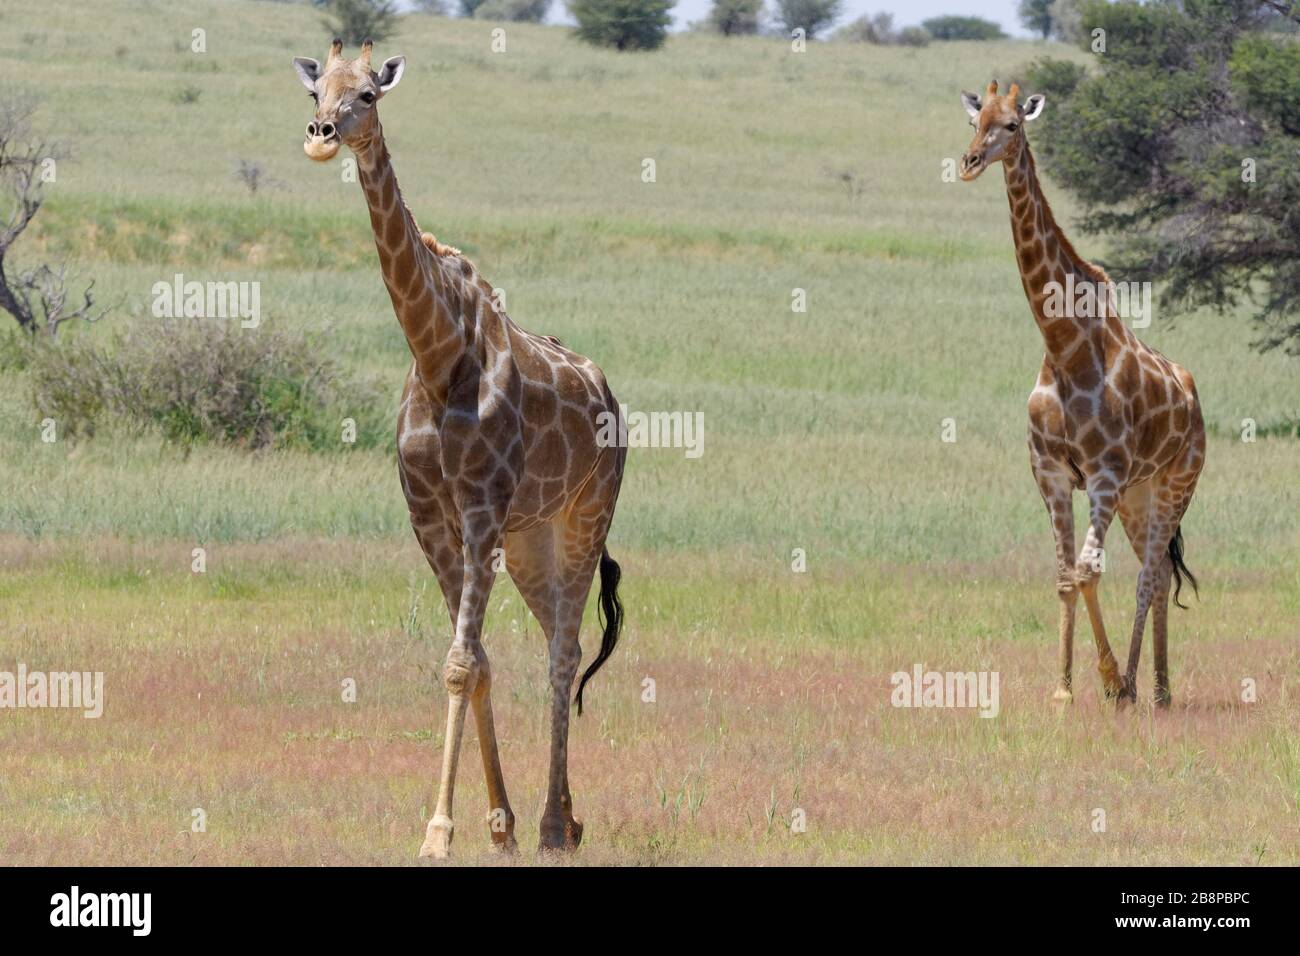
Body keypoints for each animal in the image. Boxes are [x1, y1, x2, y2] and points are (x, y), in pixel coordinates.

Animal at [292, 41, 626, 858]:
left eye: (369, 96)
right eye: (317, 90)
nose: (320, 136)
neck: (438, 354)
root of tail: (612, 396)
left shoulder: (478, 513)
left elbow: (457, 663)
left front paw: (439, 832)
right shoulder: (431, 520)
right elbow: (473, 666)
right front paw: (493, 826)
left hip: (581, 521)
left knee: (565, 651)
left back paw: (555, 825)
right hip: (531, 540)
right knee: (554, 644)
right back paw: (562, 820)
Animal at [956, 82, 1206, 707]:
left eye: (1014, 125)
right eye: (975, 120)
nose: (969, 162)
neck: (1063, 344)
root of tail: (1192, 397)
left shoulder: (1104, 475)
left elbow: (1090, 571)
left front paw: (1109, 679)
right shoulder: (1050, 473)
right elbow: (1065, 577)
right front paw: (1064, 691)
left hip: (1176, 484)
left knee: (1149, 575)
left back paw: (1141, 686)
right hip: (1141, 494)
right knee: (1156, 576)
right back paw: (1157, 688)